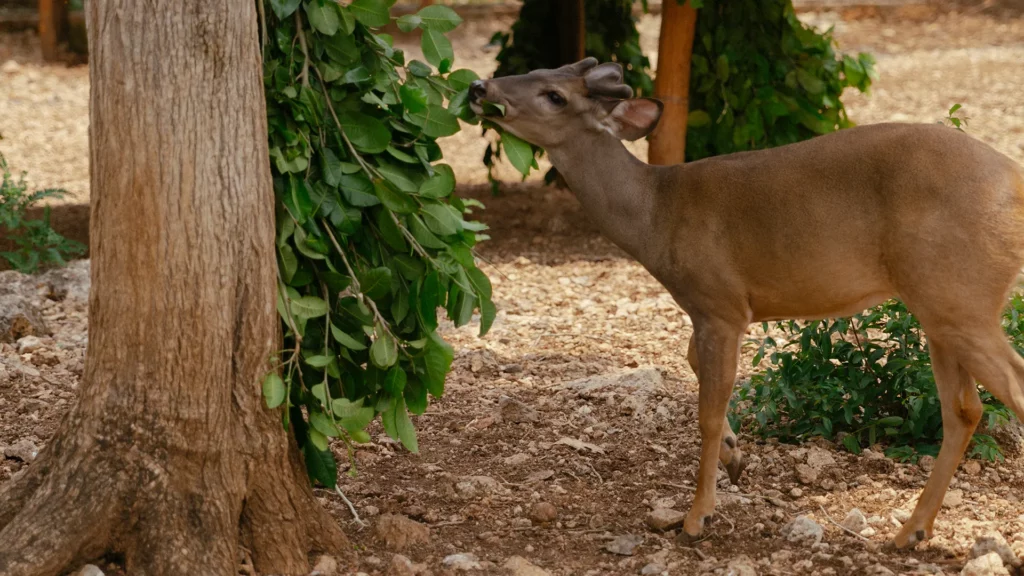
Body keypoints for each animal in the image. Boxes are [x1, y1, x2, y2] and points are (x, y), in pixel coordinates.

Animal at [468, 58, 1024, 545]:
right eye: (537, 70)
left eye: (555, 96)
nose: (478, 88)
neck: (656, 214)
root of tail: (1014, 182)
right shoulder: (710, 310)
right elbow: (693, 364)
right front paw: (736, 458)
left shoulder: (719, 303)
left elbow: (707, 412)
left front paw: (698, 517)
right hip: (940, 305)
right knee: (965, 410)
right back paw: (911, 532)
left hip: (959, 296)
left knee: (1006, 389)